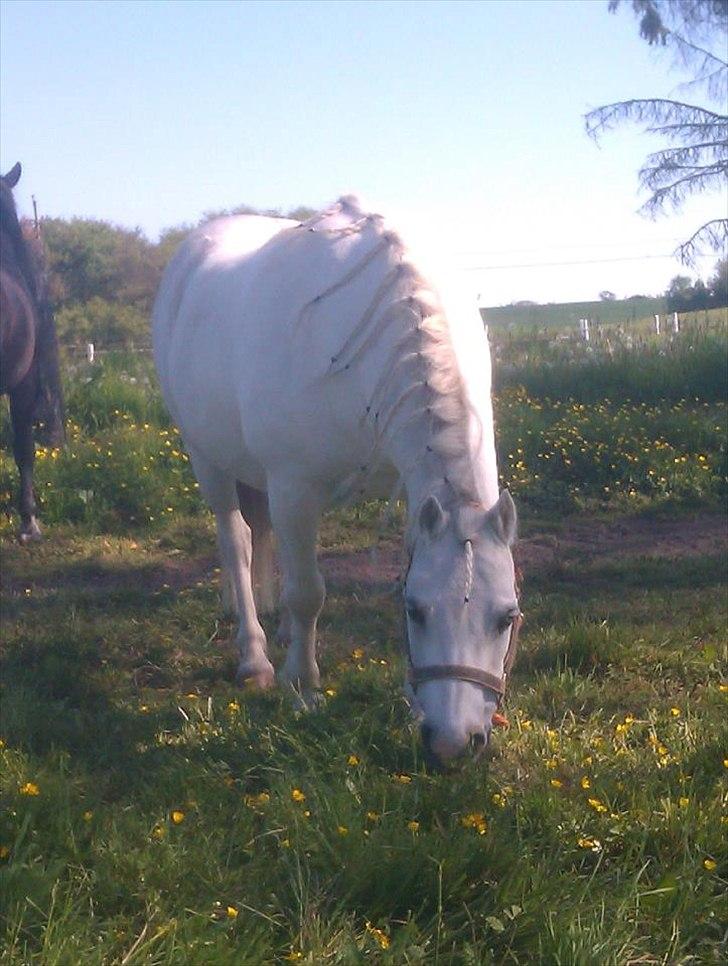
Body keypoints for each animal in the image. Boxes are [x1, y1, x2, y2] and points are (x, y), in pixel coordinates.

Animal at [154, 199, 520, 772]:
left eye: (507, 617)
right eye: (415, 611)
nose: (452, 744)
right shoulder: (294, 487)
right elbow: (308, 593)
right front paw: (302, 687)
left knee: (262, 538)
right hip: (208, 459)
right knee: (236, 541)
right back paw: (254, 655)